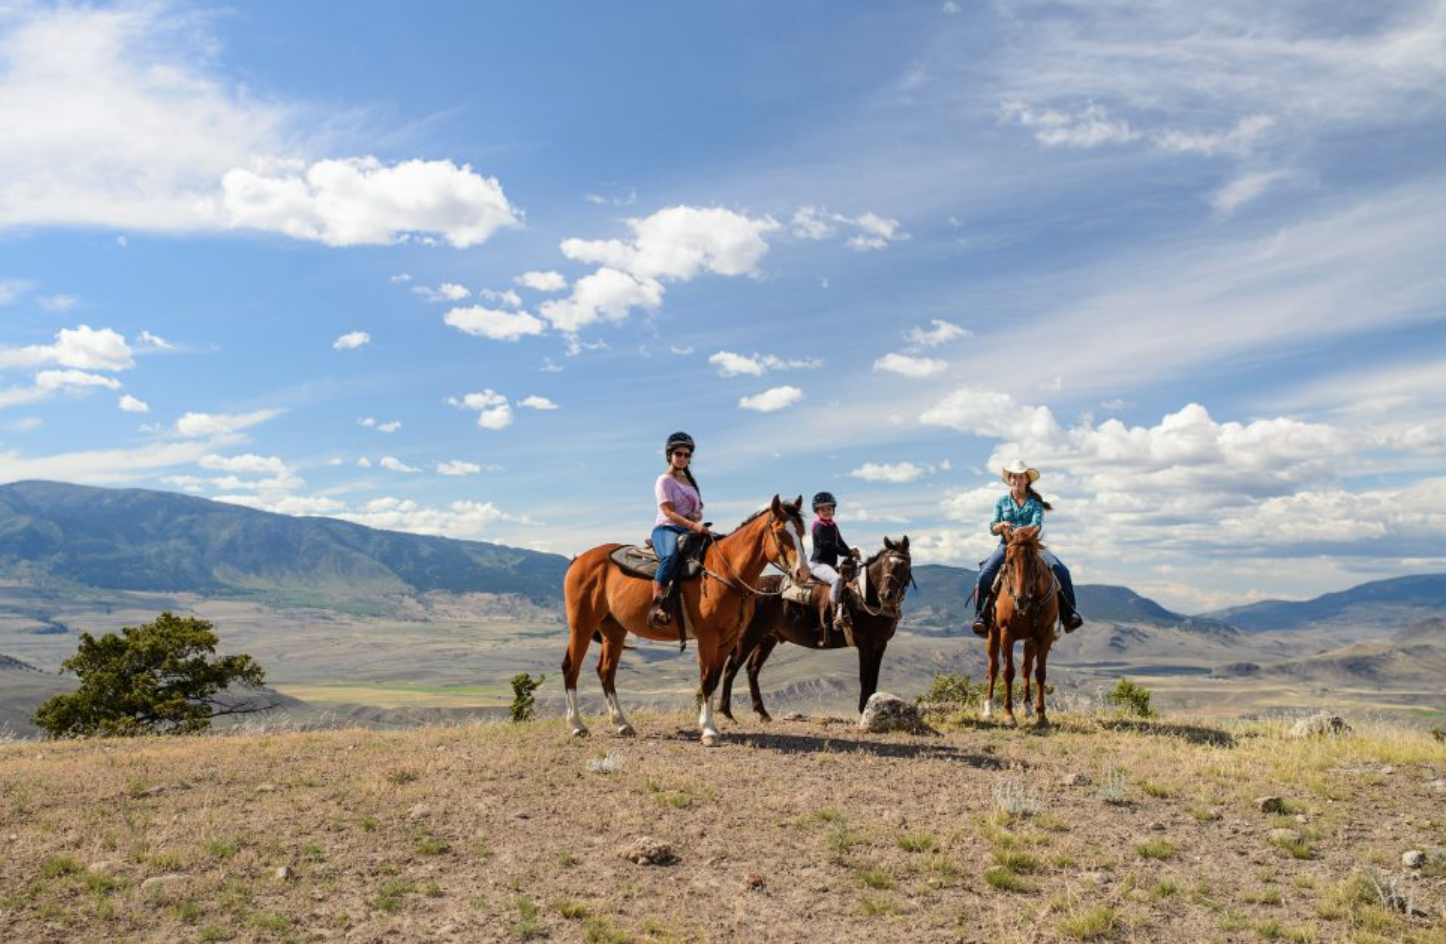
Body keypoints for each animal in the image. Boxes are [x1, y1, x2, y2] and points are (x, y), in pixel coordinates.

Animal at [561, 497, 815, 745]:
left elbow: (714, 678)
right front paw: (709, 731)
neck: (726, 571)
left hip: (613, 629)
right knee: (571, 667)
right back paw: (577, 726)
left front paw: (708, 725)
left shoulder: (729, 639)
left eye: (802, 532)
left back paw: (622, 723)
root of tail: (579, 560)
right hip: (582, 625)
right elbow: (706, 679)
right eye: (781, 533)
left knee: (606, 671)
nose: (802, 573)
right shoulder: (708, 637)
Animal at [723, 537, 913, 722]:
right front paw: (863, 710)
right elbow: (865, 677)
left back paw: (762, 713)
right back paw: (726, 712)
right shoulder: (866, 645)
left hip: (767, 638)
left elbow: (873, 677)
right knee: (731, 668)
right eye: (886, 563)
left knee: (752, 669)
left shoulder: (880, 645)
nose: (886, 595)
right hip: (748, 636)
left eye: (905, 566)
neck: (865, 595)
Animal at [977, 526, 1058, 725]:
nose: (1021, 600)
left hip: (1030, 641)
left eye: (1033, 561)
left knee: (1026, 668)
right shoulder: (1007, 633)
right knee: (993, 668)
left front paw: (1041, 715)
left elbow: (1040, 673)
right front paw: (1008, 715)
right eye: (1009, 562)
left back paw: (1027, 707)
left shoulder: (1046, 634)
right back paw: (988, 709)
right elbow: (1008, 672)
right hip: (993, 634)